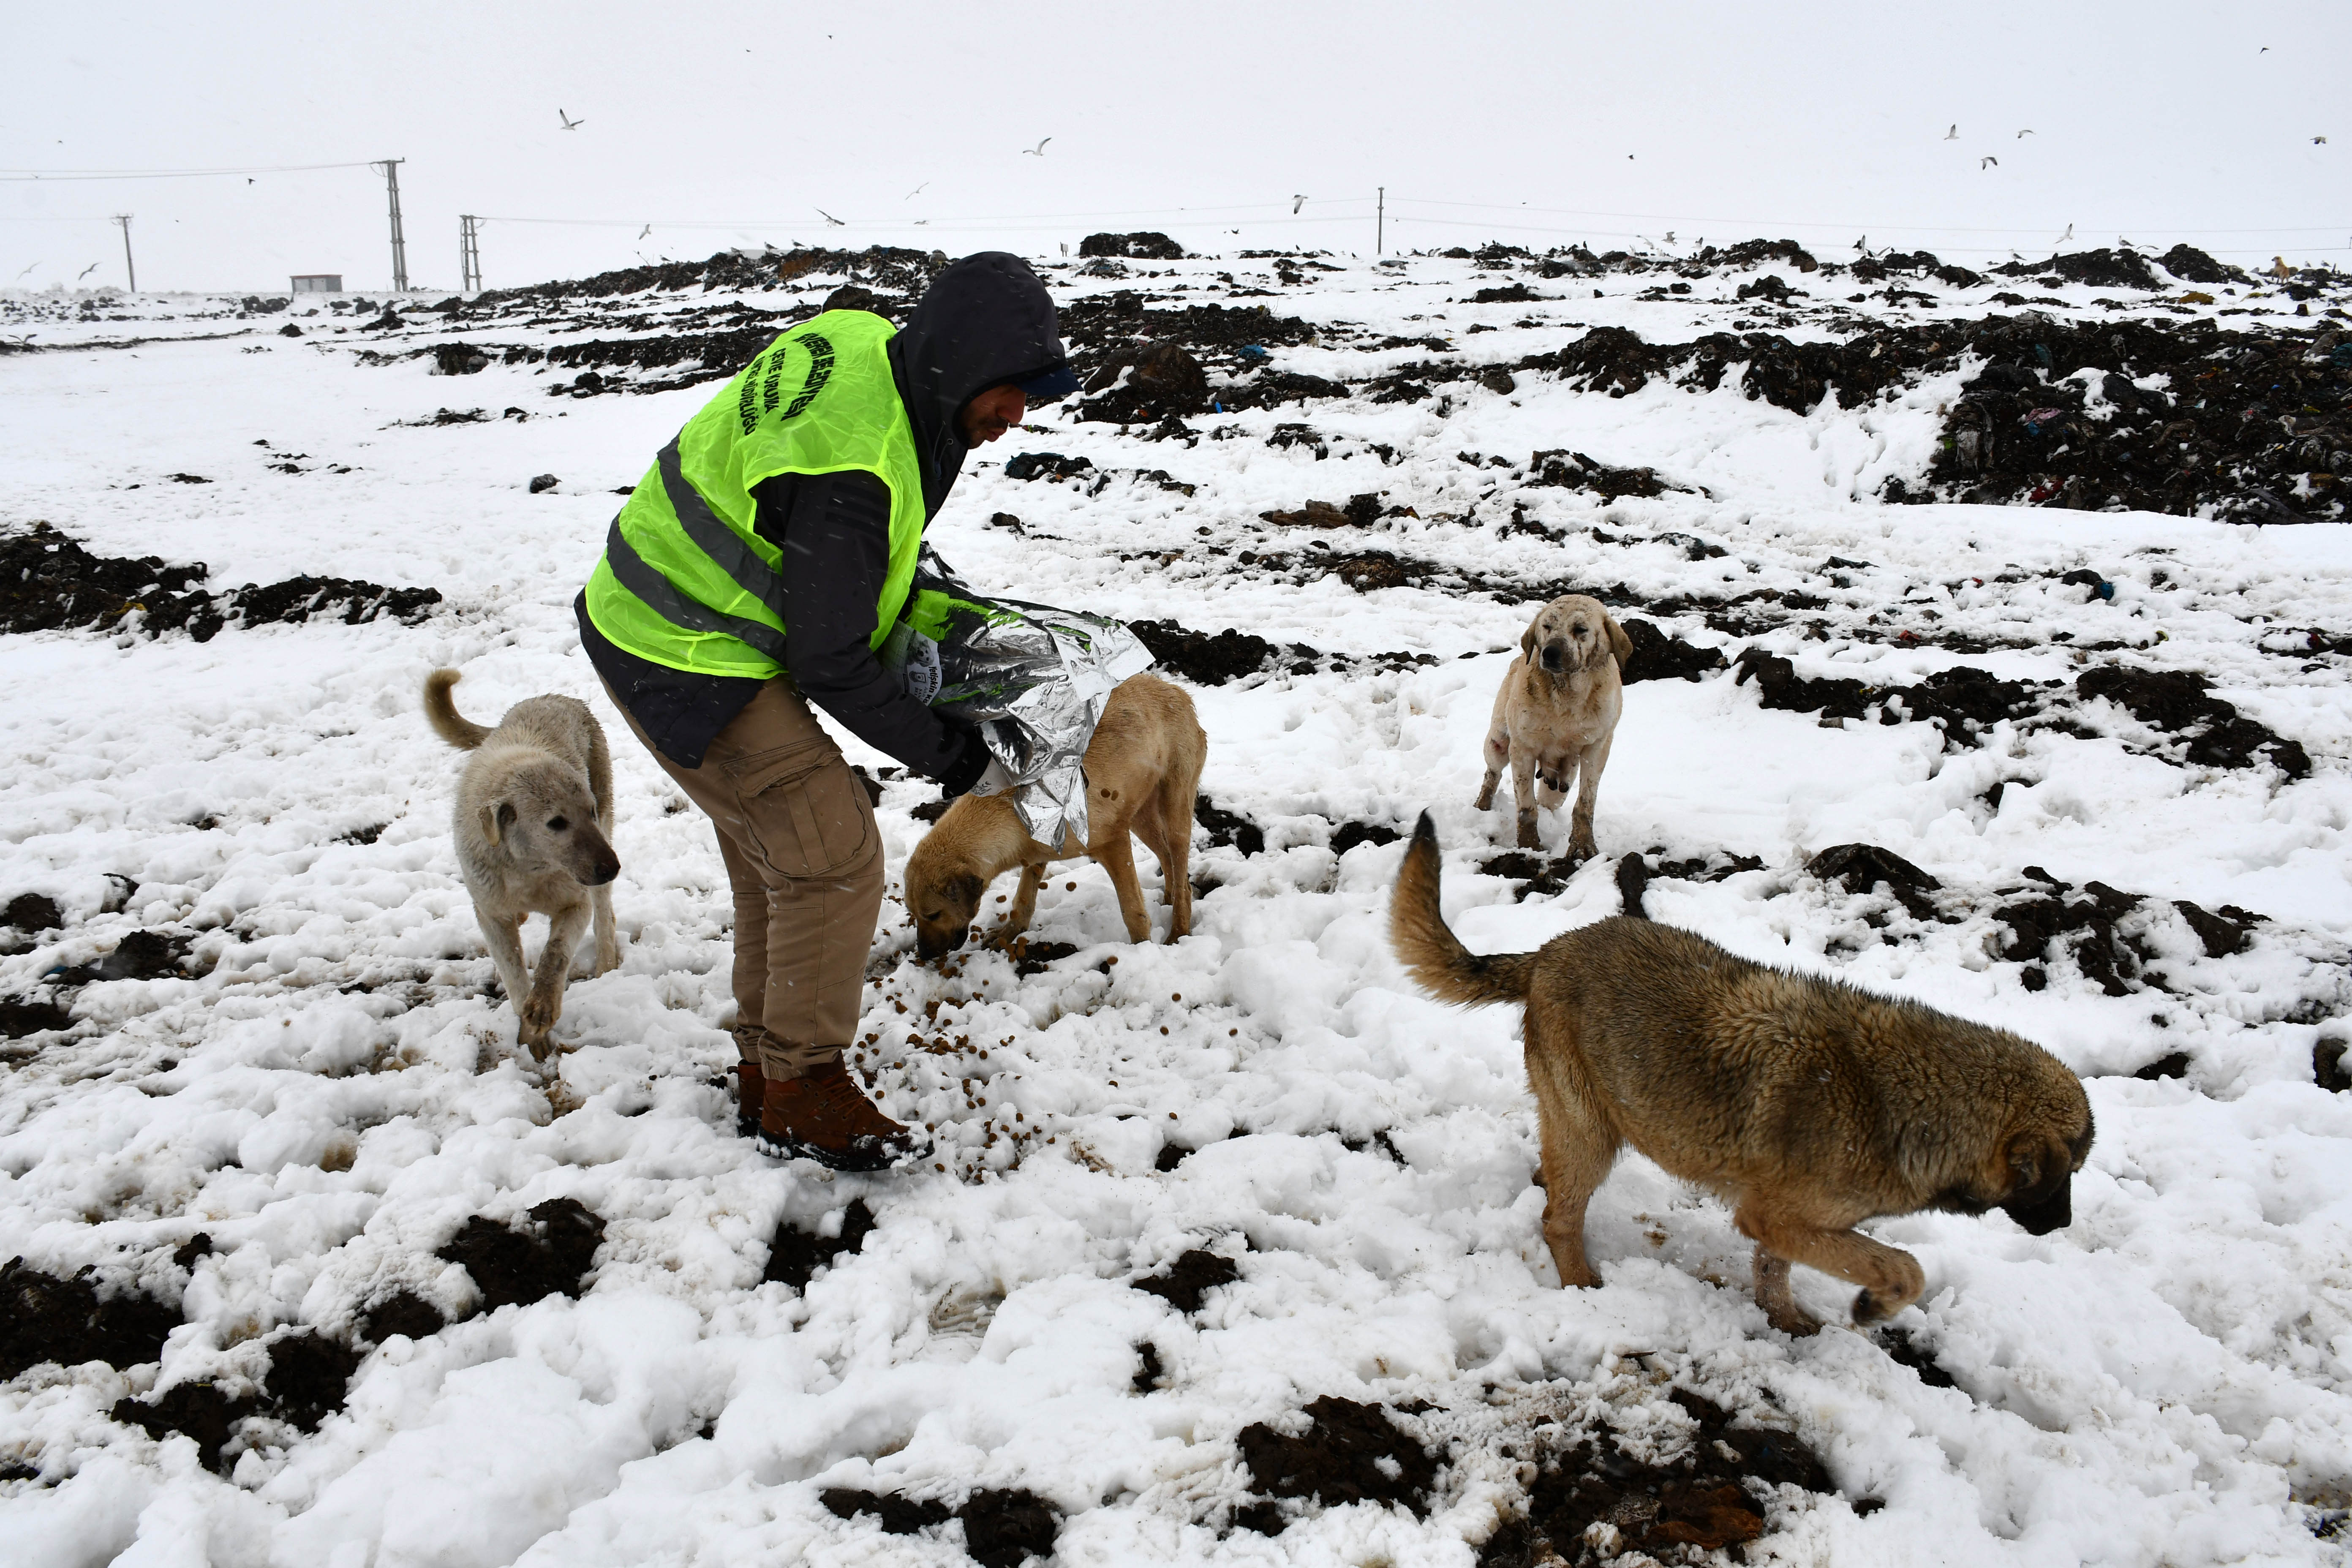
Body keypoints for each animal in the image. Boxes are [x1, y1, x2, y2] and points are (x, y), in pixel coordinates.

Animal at [893, 672, 1204, 964]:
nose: (924, 954)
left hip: (1175, 808)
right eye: (913, 914)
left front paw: (1141, 949)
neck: (1005, 809)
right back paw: (1169, 897)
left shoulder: (1114, 843)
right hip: (1140, 815)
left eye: (933, 914)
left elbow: (1132, 910)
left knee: (1180, 868)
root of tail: (1177, 691)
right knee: (1167, 858)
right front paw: (1011, 931)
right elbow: (1023, 898)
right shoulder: (1035, 853)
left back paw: (1179, 929)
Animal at [1383, 818, 2088, 1345]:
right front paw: (1872, 1305)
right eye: (2066, 1174)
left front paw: (1787, 1320)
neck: (1902, 1100)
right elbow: (1904, 1267)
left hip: (1580, 1124)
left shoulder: (1784, 1226)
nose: (2063, 1228)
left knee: (1551, 1180)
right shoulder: (1776, 1216)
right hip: (1594, 1136)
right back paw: (1584, 1286)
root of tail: (1550, 950)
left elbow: (1776, 1273)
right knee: (1558, 1220)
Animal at [1477, 595, 1628, 860]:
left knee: (1552, 798)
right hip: (1497, 742)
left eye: (1581, 629)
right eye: (1547, 626)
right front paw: (1529, 847)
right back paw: (1482, 805)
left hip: (1562, 785)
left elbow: (1585, 804)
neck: (1567, 698)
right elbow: (1527, 808)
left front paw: (1583, 845)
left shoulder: (1597, 748)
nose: (1550, 653)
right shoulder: (1522, 750)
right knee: (1493, 773)